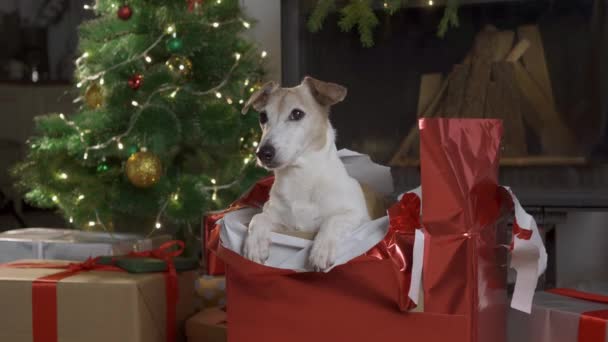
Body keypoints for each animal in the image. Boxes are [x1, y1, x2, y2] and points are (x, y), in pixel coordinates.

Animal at [242, 76, 370, 272]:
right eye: (263, 117)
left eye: (297, 114)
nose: (262, 153)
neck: (300, 178)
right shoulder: (280, 222)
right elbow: (258, 217)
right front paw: (255, 244)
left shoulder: (357, 215)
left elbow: (332, 221)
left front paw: (322, 250)